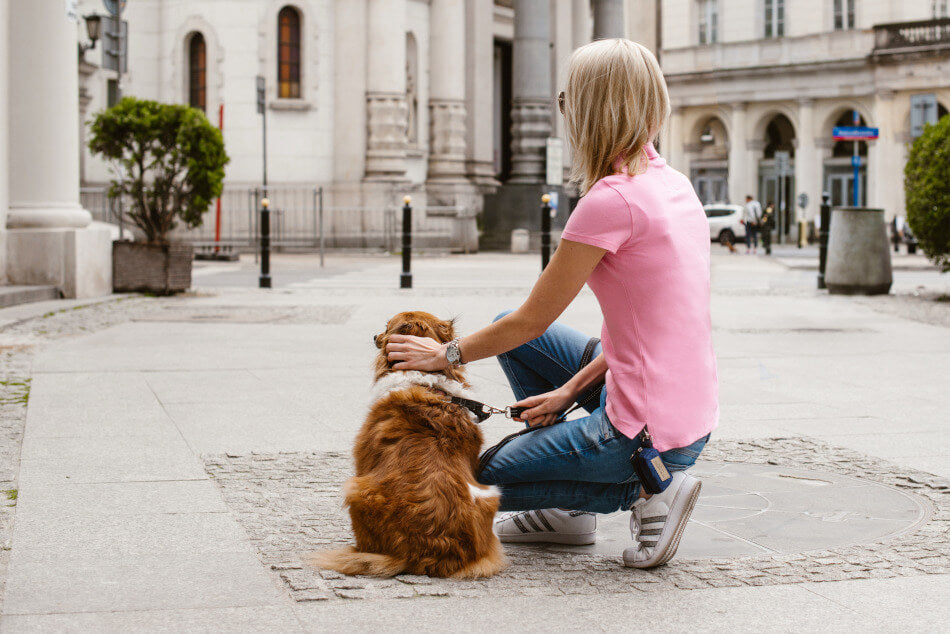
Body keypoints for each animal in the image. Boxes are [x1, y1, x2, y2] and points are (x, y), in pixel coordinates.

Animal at [310, 312, 506, 576]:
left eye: (386, 327)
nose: (374, 335)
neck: (426, 382)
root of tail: (431, 551)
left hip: (356, 490)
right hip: (490, 495)